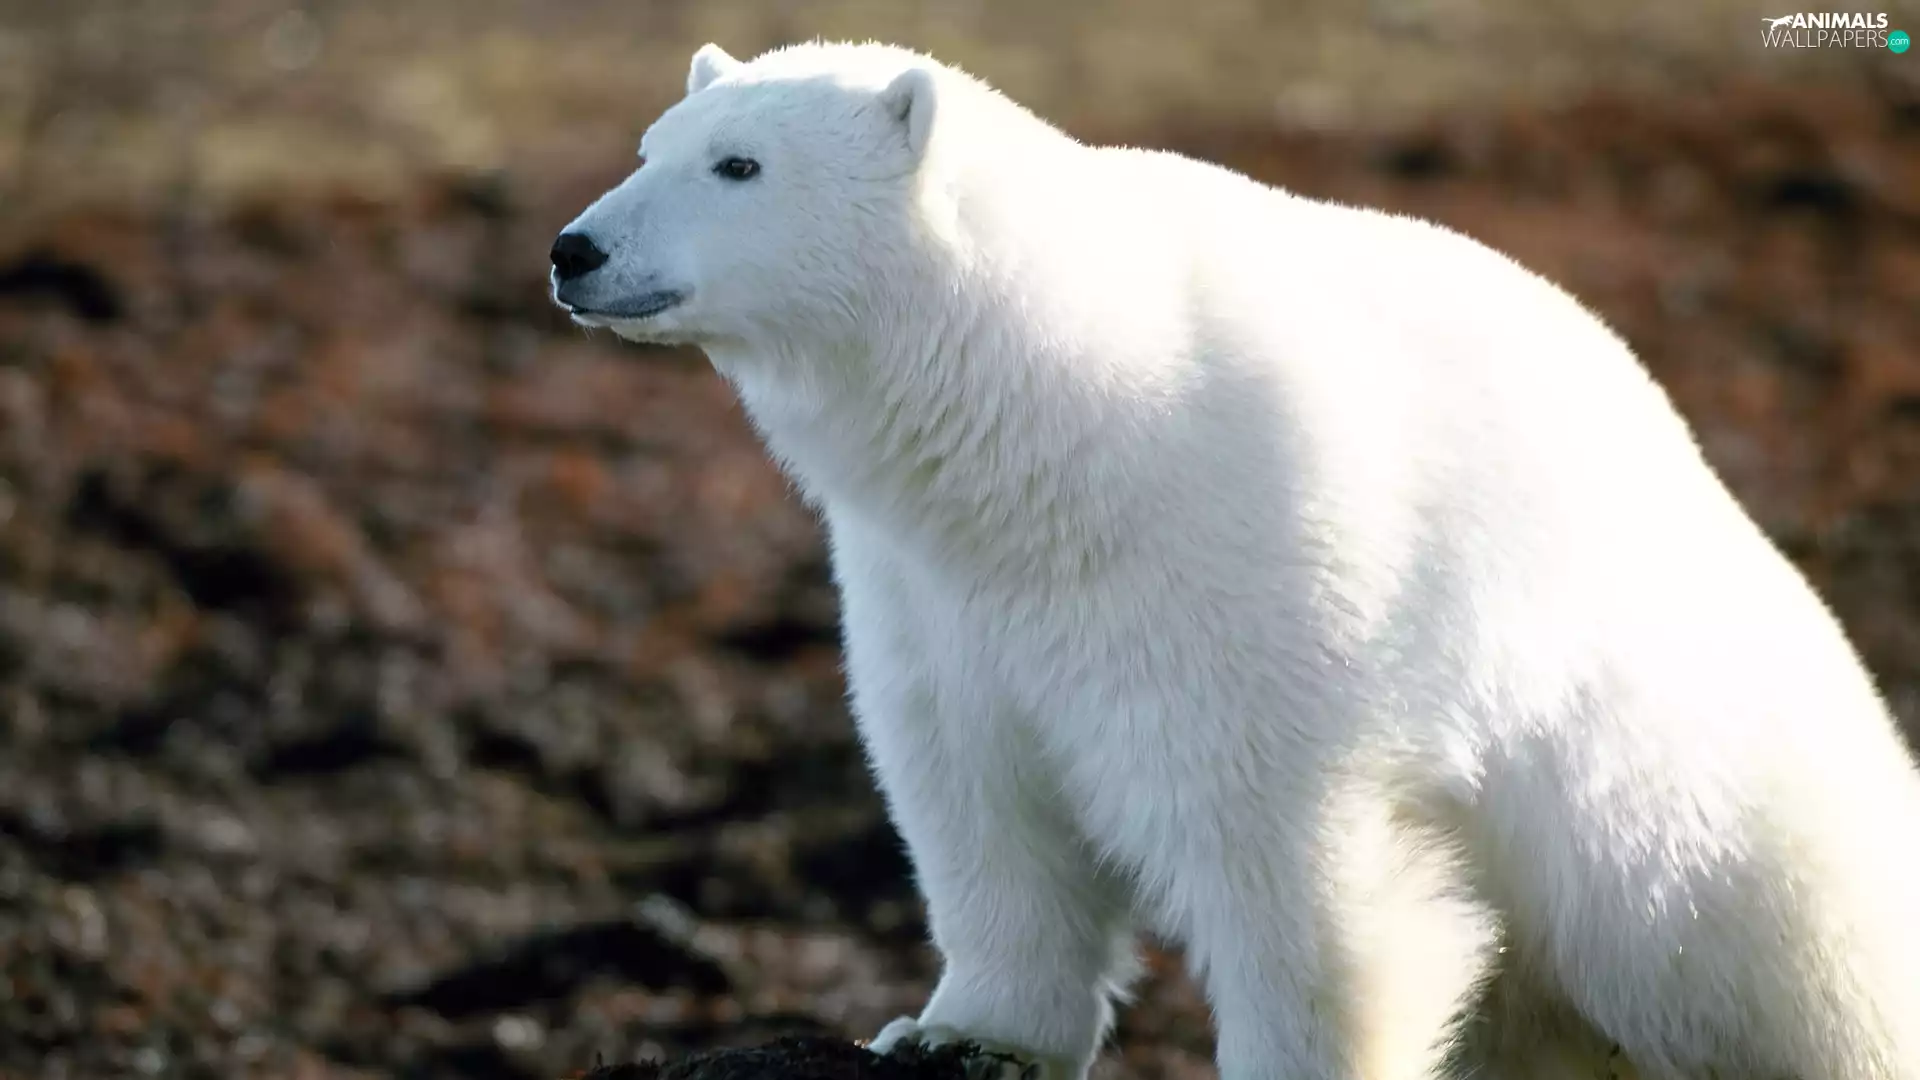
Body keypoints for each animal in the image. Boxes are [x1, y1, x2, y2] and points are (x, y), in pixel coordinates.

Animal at [549, 40, 1920, 1080]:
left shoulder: (1248, 563)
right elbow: (976, 800)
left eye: (740, 164)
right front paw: (960, 1036)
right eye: (651, 145)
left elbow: (1287, 864)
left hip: (1699, 820)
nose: (574, 250)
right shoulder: (928, 593)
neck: (1061, 436)